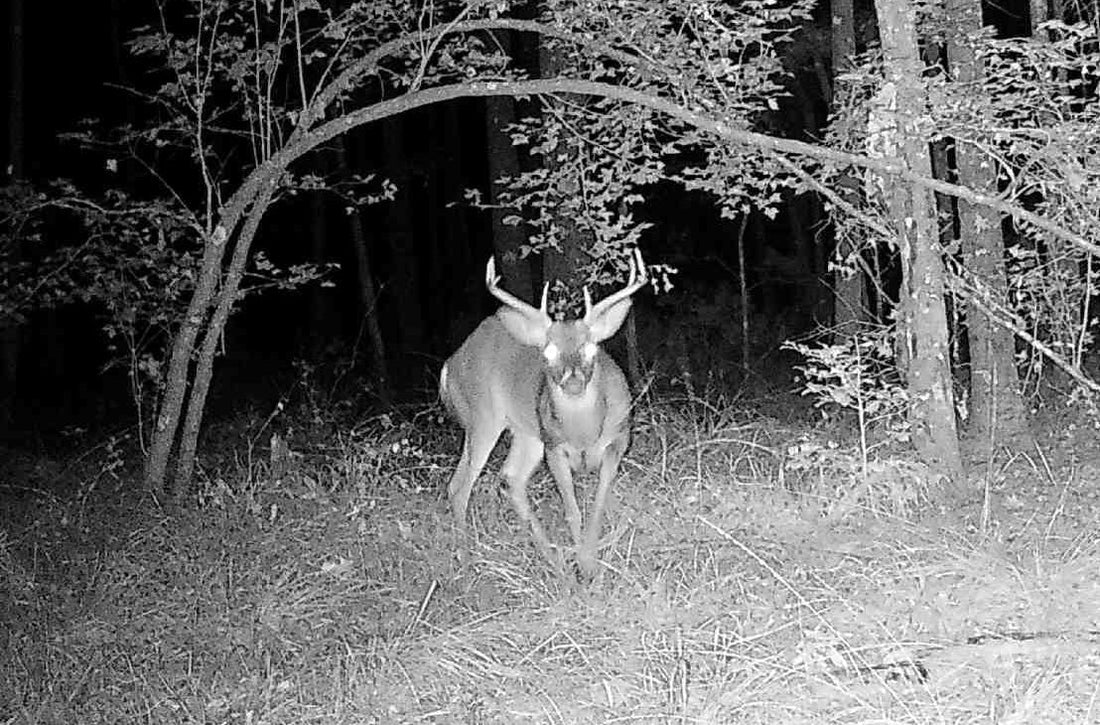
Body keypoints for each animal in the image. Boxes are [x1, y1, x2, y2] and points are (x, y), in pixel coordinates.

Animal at [439, 249, 648, 576]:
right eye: (548, 352)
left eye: (591, 349)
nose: (573, 380)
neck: (584, 434)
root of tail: (450, 365)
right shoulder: (553, 446)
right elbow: (572, 510)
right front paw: (584, 566)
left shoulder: (620, 438)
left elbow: (598, 503)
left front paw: (588, 561)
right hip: (482, 417)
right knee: (461, 486)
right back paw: (467, 561)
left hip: (526, 434)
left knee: (510, 477)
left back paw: (553, 559)